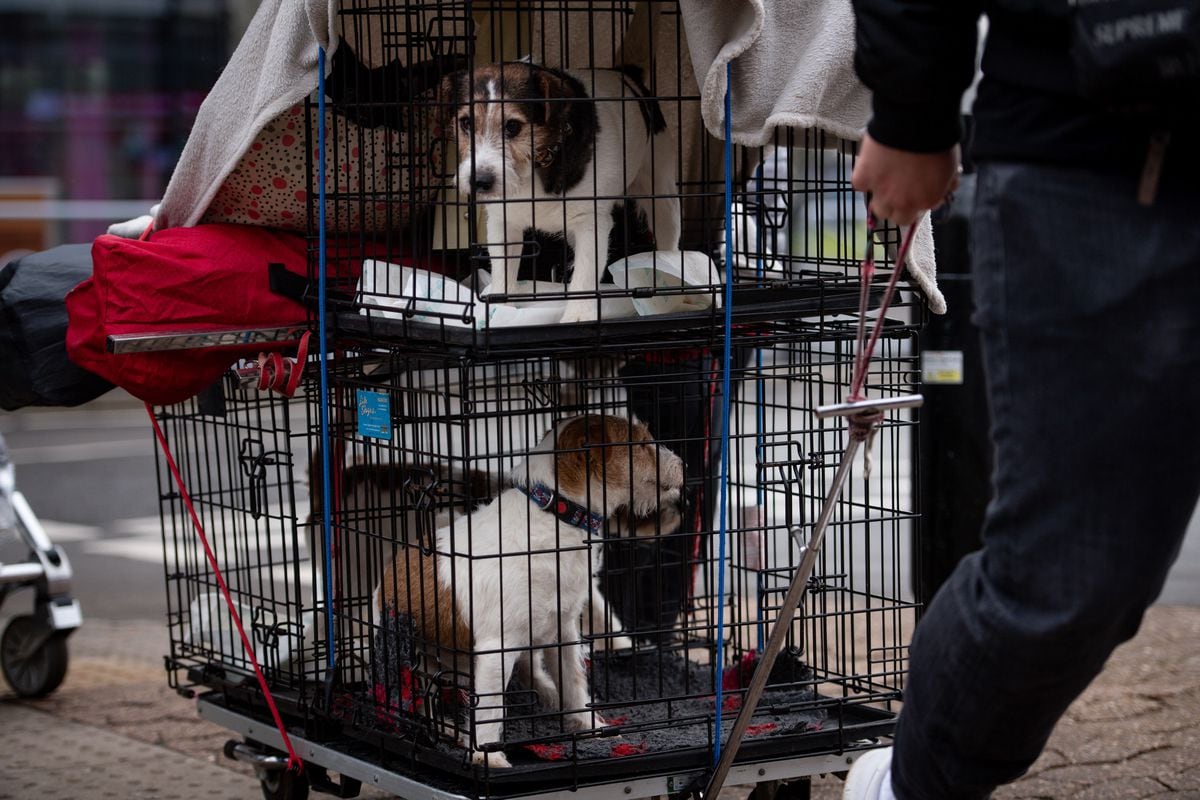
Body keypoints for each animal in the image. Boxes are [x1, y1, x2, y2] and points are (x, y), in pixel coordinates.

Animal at [379, 417, 681, 767]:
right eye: (642, 444)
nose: (683, 465)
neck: (556, 513)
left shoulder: (564, 630)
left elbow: (573, 681)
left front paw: (589, 726)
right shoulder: (496, 648)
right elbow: (490, 708)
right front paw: (485, 756)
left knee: (528, 667)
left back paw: (545, 691)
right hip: (412, 658)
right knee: (423, 702)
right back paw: (445, 729)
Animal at [444, 62, 686, 323]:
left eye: (512, 127)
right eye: (466, 123)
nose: (479, 181)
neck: (536, 165)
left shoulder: (591, 223)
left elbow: (586, 272)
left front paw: (579, 315)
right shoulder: (503, 222)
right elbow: (502, 270)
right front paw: (501, 306)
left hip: (662, 193)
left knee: (668, 241)